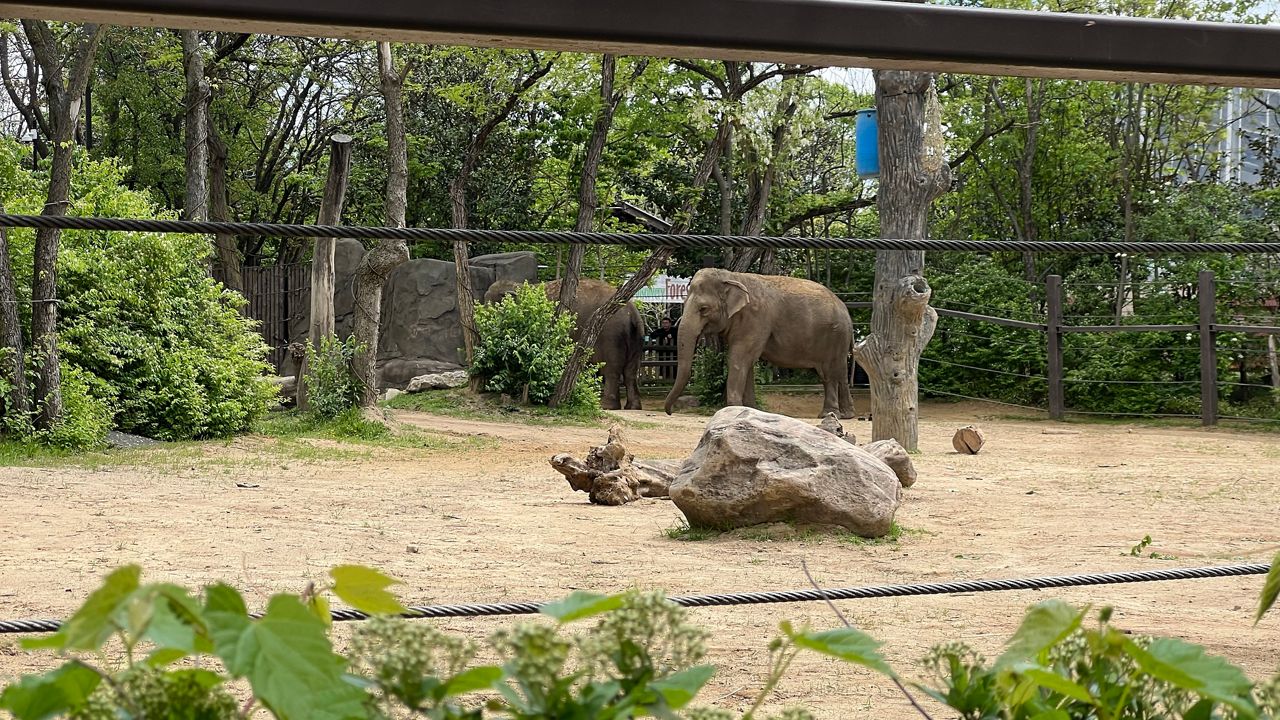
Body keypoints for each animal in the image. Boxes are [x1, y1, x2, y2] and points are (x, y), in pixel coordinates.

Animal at [483, 274, 645, 409]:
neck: (521, 286)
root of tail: (633, 314)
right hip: (636, 338)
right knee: (631, 372)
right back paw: (632, 407)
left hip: (610, 336)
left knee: (612, 370)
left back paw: (606, 406)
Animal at [665, 267, 855, 415]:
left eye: (703, 309)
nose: (670, 412)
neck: (733, 277)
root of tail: (844, 308)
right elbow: (747, 362)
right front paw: (750, 409)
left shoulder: (755, 319)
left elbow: (739, 358)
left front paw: (732, 409)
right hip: (839, 338)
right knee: (840, 371)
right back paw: (846, 414)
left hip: (835, 336)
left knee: (829, 373)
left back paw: (828, 414)